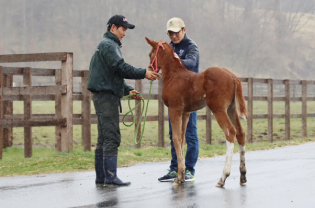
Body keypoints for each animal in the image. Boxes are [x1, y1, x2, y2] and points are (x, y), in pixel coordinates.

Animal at [147, 37, 248, 187]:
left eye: (150, 54)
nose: (149, 71)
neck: (174, 76)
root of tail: (232, 76)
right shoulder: (185, 113)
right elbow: (182, 138)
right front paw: (181, 175)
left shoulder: (174, 110)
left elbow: (176, 138)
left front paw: (179, 177)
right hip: (231, 108)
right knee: (240, 133)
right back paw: (243, 175)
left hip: (218, 109)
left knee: (230, 132)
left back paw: (223, 177)